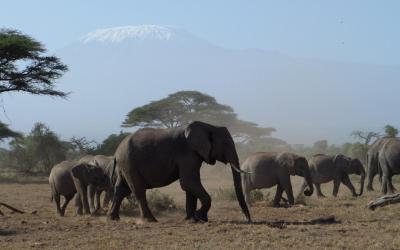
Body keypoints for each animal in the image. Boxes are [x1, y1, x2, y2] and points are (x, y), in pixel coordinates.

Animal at [108, 121, 252, 223]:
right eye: (226, 143)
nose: (248, 220)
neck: (209, 126)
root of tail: (116, 152)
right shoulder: (187, 153)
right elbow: (188, 182)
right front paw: (200, 217)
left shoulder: (194, 155)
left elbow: (190, 185)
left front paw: (191, 220)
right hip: (129, 162)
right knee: (138, 190)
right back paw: (151, 220)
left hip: (124, 165)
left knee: (122, 189)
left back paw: (113, 218)